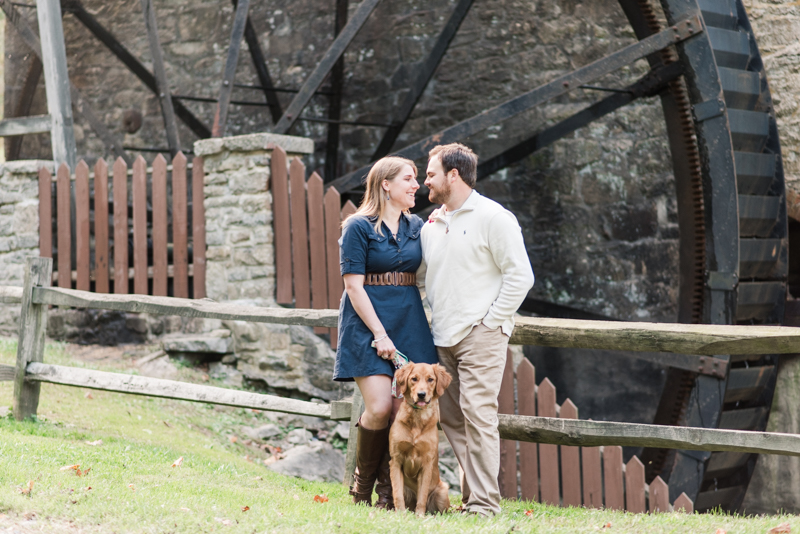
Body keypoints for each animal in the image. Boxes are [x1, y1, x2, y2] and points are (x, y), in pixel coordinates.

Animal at [390, 362, 454, 516]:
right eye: (414, 379)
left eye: (431, 379)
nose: (421, 395)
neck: (416, 419)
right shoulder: (396, 460)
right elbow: (397, 493)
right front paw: (400, 514)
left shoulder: (427, 463)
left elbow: (422, 495)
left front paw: (419, 515)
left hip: (442, 491)